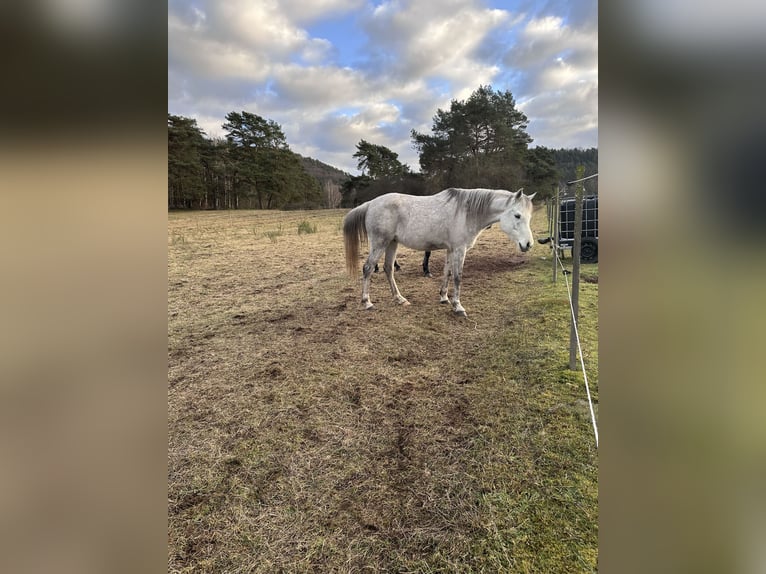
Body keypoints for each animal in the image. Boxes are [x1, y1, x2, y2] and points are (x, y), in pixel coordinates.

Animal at [344, 188, 536, 318]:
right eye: (517, 215)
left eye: (529, 217)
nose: (528, 244)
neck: (466, 212)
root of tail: (371, 204)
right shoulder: (459, 249)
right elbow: (458, 276)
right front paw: (458, 306)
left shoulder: (451, 250)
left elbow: (447, 272)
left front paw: (444, 297)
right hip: (380, 243)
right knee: (368, 268)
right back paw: (367, 302)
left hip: (392, 243)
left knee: (388, 268)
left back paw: (399, 299)